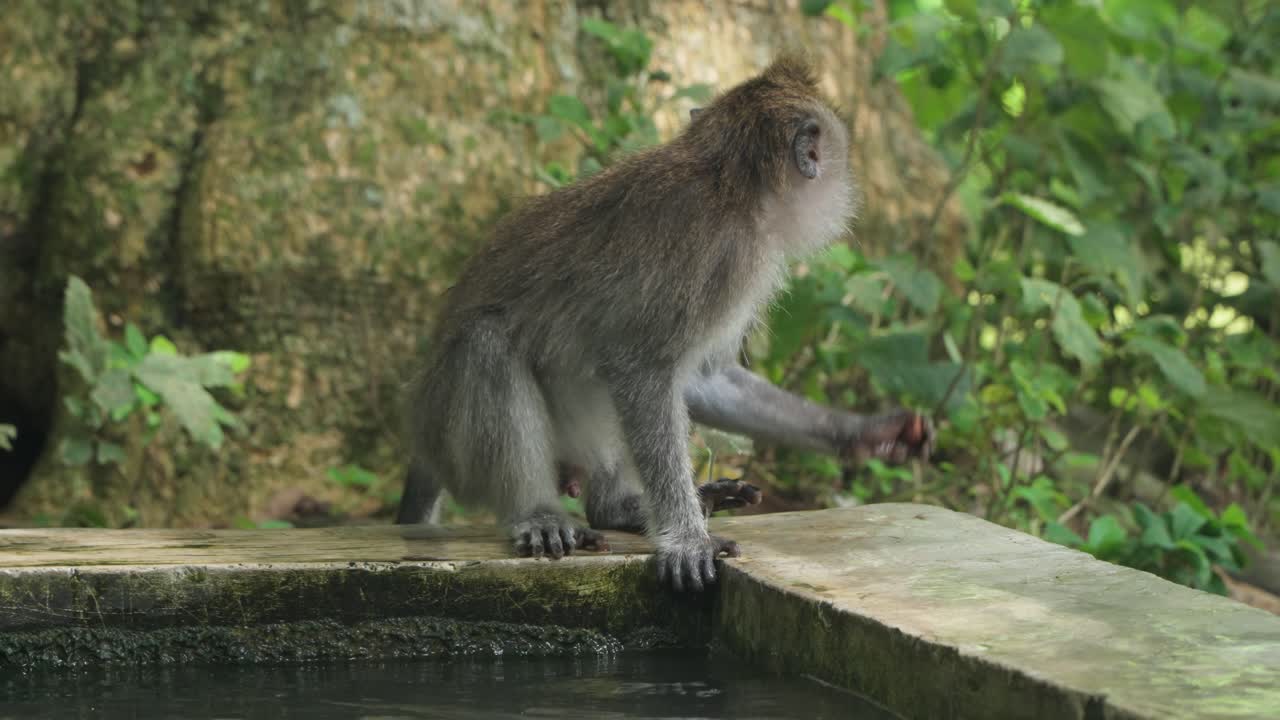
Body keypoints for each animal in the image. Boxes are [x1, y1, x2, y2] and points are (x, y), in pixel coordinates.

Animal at [397, 54, 933, 592]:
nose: (847, 180)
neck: (730, 181)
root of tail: (420, 434)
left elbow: (703, 377)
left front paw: (865, 432)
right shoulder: (722, 260)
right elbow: (641, 370)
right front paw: (686, 539)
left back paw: (616, 508)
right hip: (452, 441)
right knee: (486, 345)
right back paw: (537, 513)